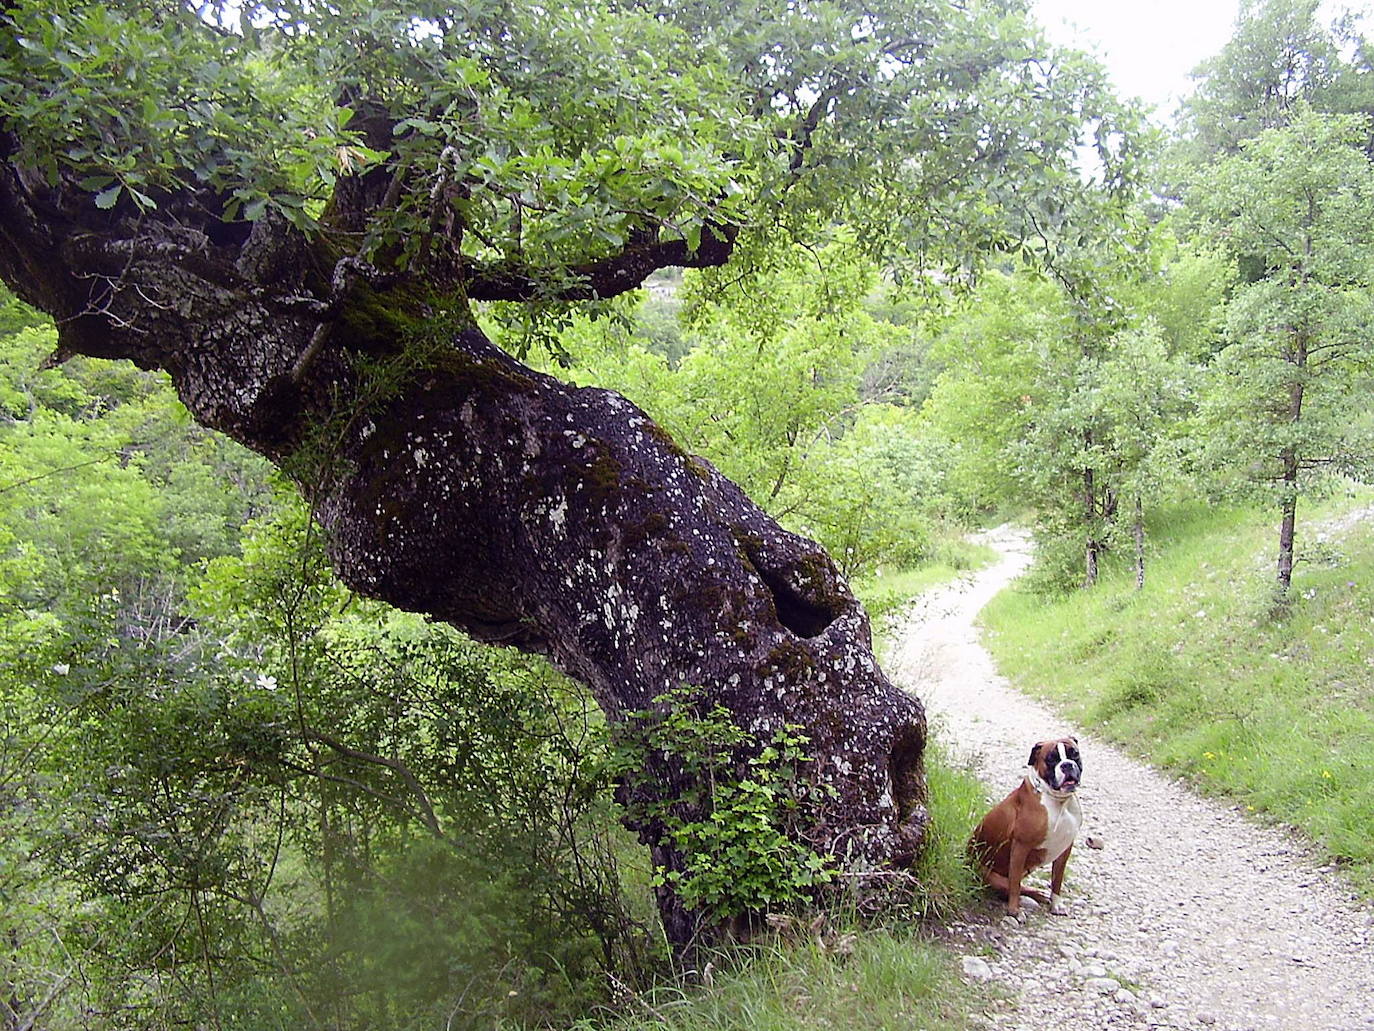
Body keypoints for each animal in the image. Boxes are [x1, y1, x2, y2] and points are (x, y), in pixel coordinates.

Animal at [967, 736, 1082, 918]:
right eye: (1051, 759)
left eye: (1074, 754)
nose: (1067, 765)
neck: (1058, 802)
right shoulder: (1021, 847)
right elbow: (1014, 884)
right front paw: (1014, 910)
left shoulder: (1065, 850)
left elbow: (1057, 880)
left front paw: (1056, 904)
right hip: (992, 876)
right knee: (1011, 887)